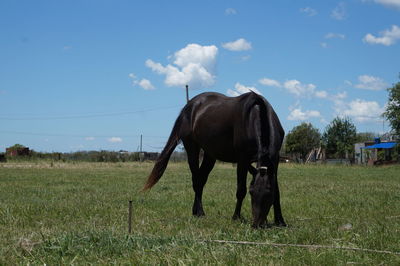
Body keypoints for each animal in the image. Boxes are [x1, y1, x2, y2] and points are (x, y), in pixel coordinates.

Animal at [142, 91, 286, 229]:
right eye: (251, 192)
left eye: (268, 193)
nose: (257, 224)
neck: (256, 115)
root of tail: (189, 106)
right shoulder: (242, 160)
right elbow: (240, 190)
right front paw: (236, 217)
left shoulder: (275, 159)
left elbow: (277, 192)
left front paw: (280, 221)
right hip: (192, 147)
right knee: (196, 180)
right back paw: (200, 212)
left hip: (210, 155)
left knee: (201, 179)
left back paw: (195, 211)